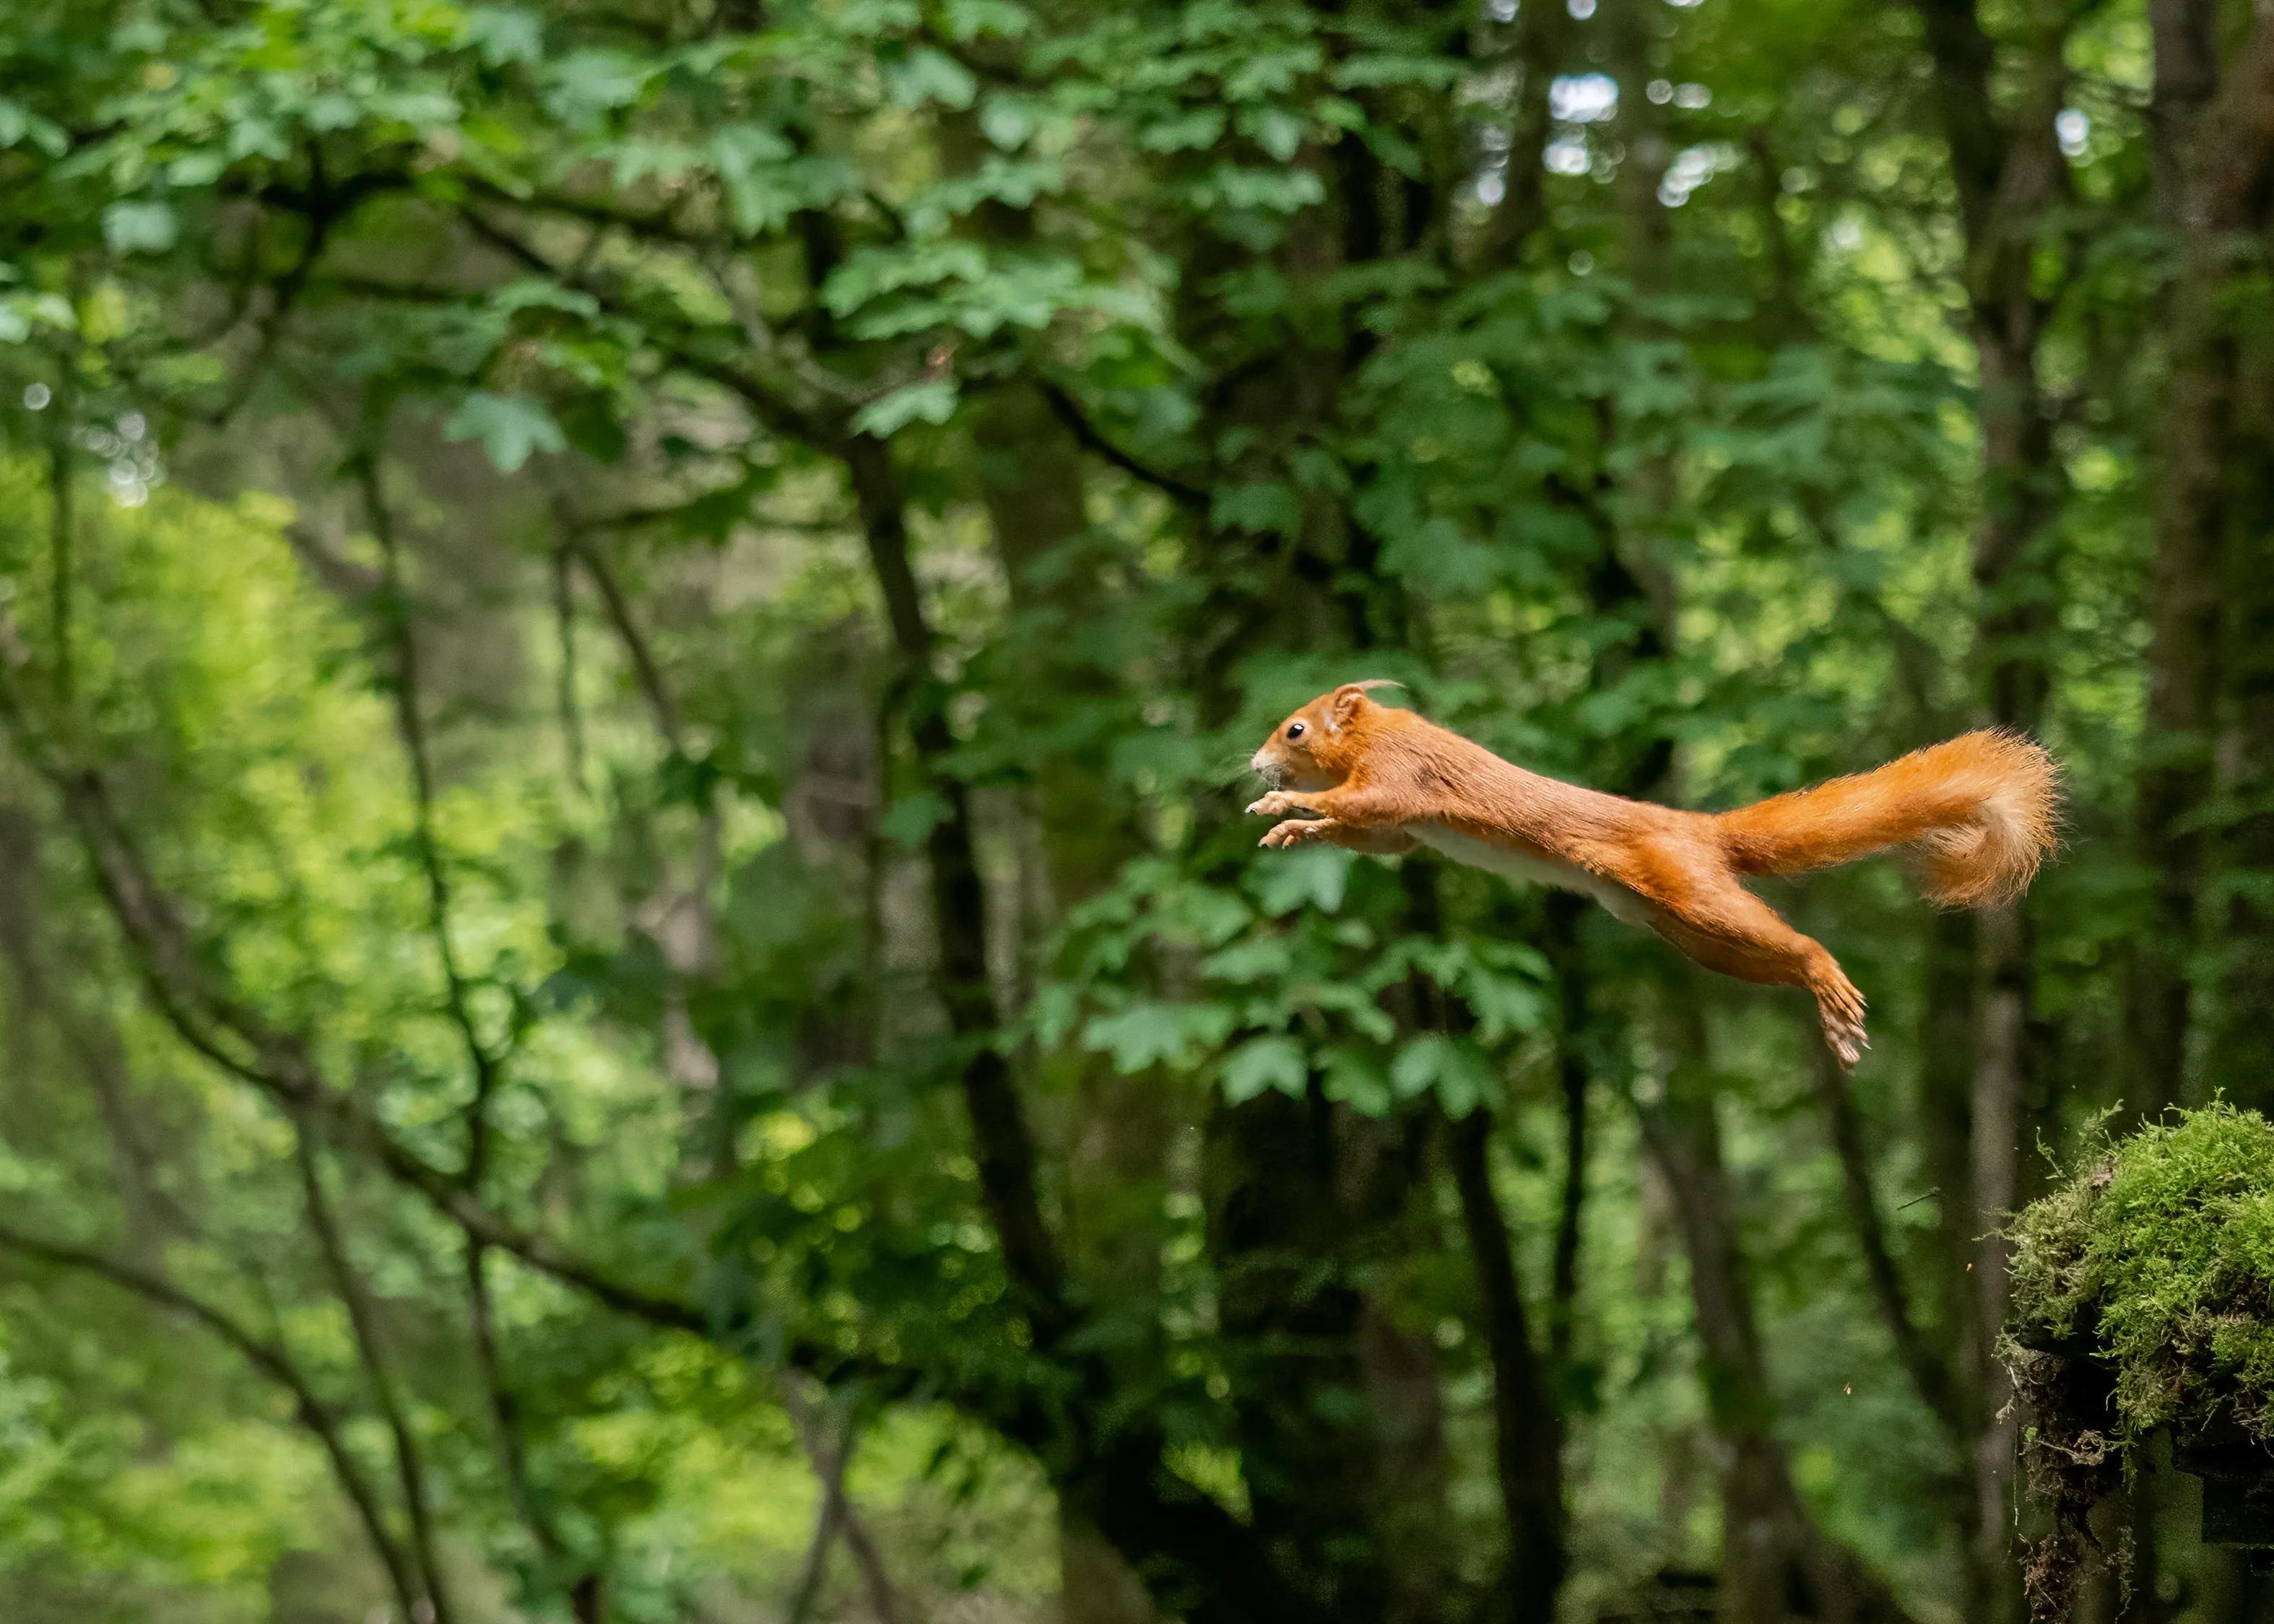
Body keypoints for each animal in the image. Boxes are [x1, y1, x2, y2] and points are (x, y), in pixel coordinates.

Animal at [1246, 682, 2060, 1067]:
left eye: (1294, 728)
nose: (1254, 762)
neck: (1373, 736)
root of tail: (1698, 832)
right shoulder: (1393, 827)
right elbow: (1373, 836)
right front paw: (1293, 828)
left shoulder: (1400, 776)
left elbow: (1364, 802)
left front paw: (1283, 801)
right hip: (1688, 933)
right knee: (1769, 959)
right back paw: (1832, 1014)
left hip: (1693, 893)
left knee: (1796, 941)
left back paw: (1826, 974)